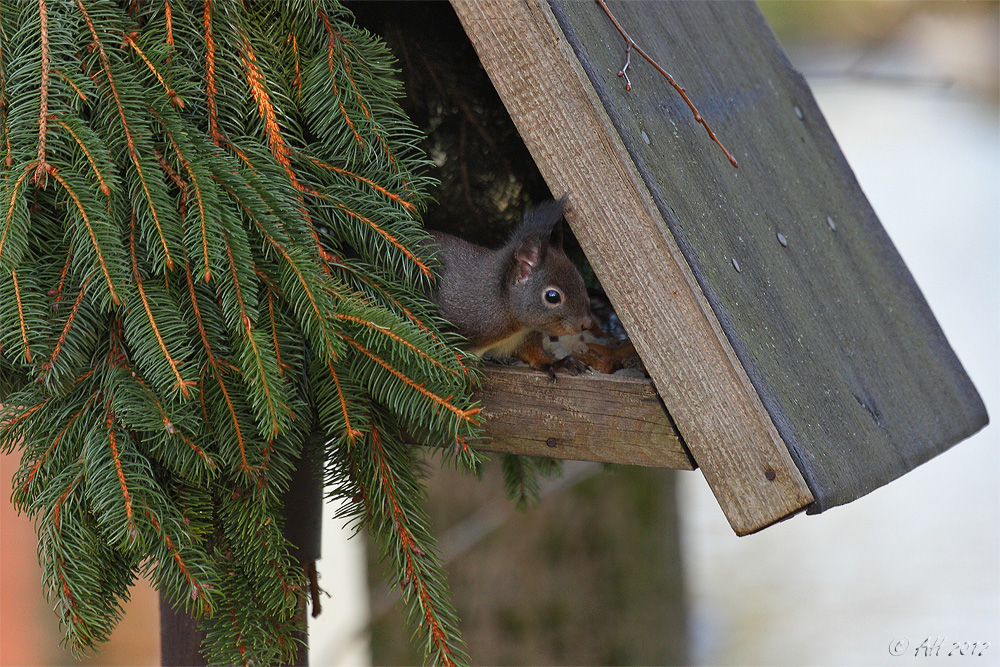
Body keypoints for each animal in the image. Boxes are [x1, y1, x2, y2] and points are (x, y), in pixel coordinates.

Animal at [428, 196, 592, 378]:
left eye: (581, 282)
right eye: (552, 296)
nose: (586, 324)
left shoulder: (524, 337)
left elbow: (533, 352)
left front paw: (557, 363)